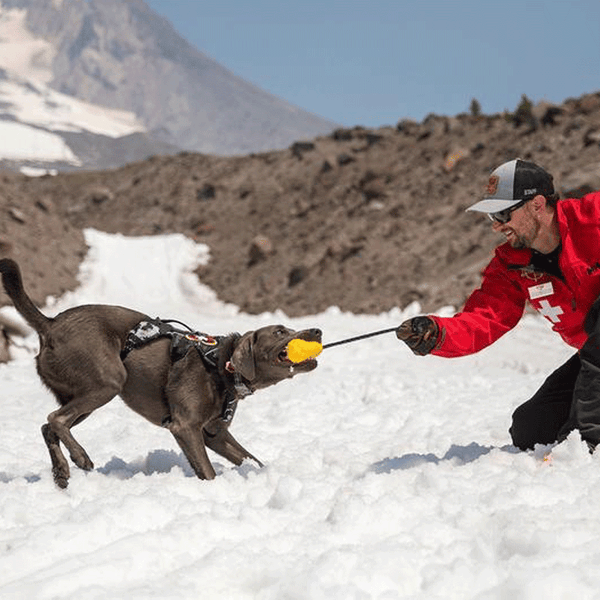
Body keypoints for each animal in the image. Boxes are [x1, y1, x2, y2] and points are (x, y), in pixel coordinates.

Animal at [0, 258, 324, 488]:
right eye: (280, 331)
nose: (317, 330)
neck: (221, 367)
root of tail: (50, 323)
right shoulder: (185, 426)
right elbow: (207, 471)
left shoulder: (214, 433)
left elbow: (251, 460)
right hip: (108, 381)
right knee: (56, 419)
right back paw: (80, 458)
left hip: (83, 392)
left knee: (48, 426)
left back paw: (61, 471)